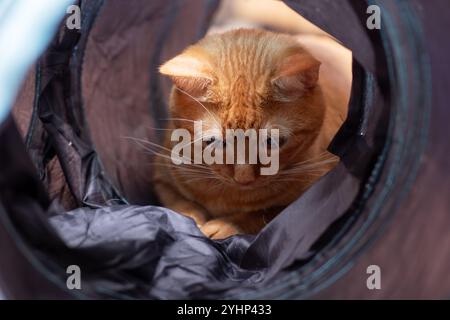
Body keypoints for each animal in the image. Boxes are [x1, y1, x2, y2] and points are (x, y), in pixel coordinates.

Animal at [153, 28, 350, 239]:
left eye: (272, 142)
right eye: (214, 142)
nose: (244, 178)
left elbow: (264, 214)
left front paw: (226, 225)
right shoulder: (163, 179)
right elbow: (181, 205)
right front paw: (190, 221)